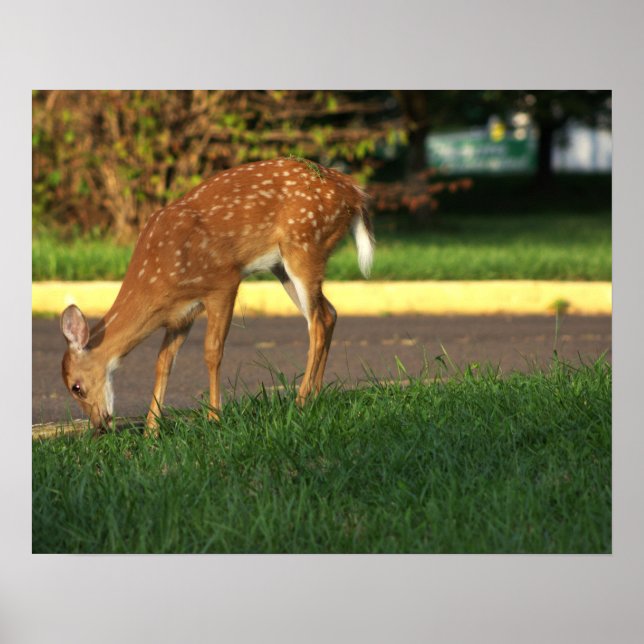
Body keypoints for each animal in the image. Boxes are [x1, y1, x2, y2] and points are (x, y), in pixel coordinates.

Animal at [60, 157, 374, 436]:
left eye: (77, 387)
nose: (100, 426)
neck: (158, 275)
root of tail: (353, 192)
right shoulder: (180, 314)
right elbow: (163, 362)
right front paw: (151, 431)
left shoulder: (223, 282)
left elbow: (212, 352)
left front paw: (214, 418)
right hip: (284, 265)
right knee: (329, 313)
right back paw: (314, 397)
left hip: (304, 244)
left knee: (317, 321)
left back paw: (299, 400)